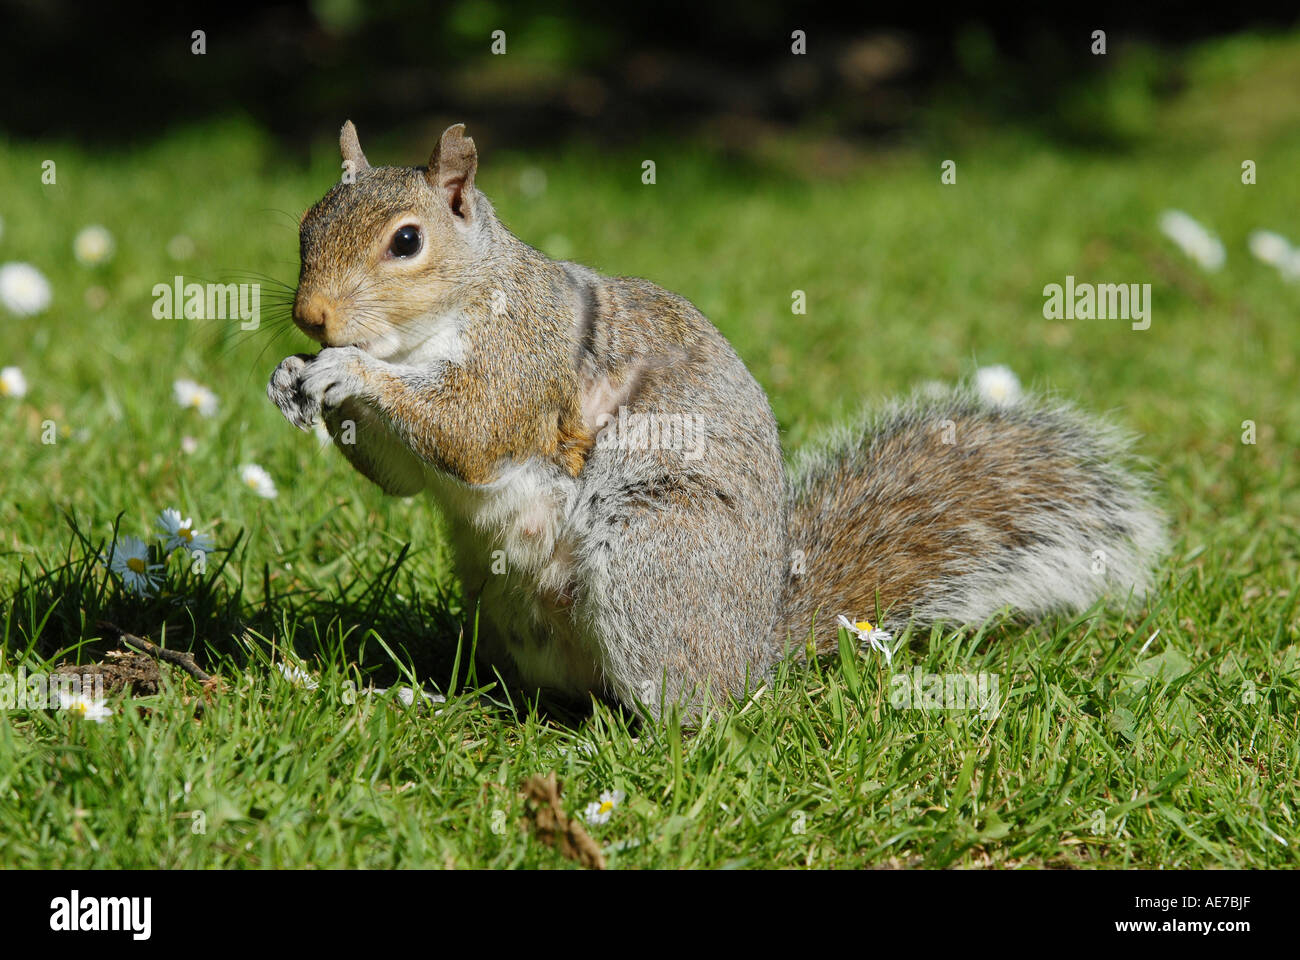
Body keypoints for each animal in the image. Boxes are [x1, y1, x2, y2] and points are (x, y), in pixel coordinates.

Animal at [268, 121, 1167, 716]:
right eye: (305, 224)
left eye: (407, 242)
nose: (311, 318)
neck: (452, 311)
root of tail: (755, 653)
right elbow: (401, 477)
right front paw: (293, 376)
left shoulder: (524, 364)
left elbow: (471, 432)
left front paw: (346, 370)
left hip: (654, 551)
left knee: (685, 712)